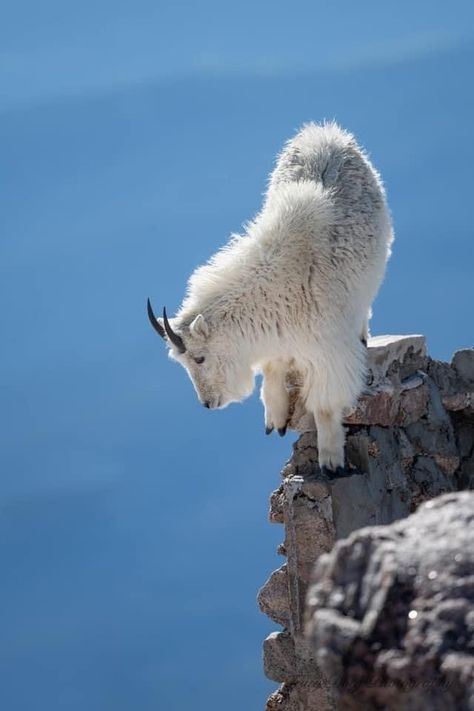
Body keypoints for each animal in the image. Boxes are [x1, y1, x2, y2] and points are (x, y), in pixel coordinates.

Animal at [147, 125, 392, 476]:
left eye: (200, 358)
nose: (207, 404)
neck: (278, 286)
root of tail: (326, 130)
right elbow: (273, 368)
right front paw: (275, 420)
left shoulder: (329, 352)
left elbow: (325, 405)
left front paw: (331, 461)